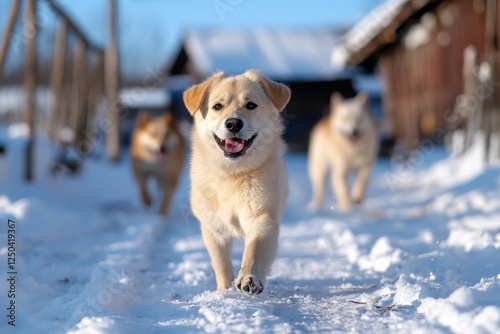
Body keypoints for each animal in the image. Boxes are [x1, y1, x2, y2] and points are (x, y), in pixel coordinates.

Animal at [183, 69, 292, 294]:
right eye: (217, 106)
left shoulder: (262, 218)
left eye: (250, 105)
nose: (233, 123)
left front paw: (249, 279)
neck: (231, 174)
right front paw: (224, 290)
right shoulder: (214, 228)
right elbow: (221, 263)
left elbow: (254, 250)